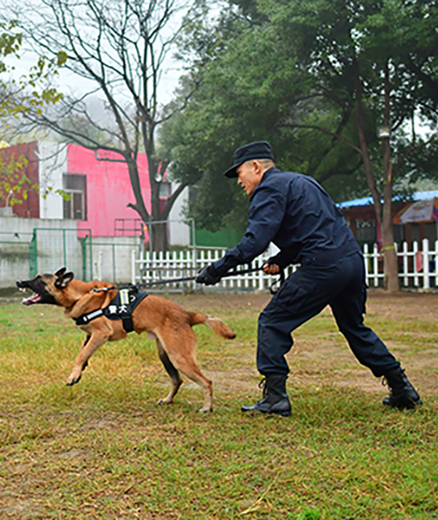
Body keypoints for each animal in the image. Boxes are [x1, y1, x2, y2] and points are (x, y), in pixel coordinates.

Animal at [16, 266, 236, 412]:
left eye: (37, 280)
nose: (19, 282)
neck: (80, 294)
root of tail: (188, 315)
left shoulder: (101, 333)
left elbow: (82, 353)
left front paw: (74, 375)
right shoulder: (90, 334)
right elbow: (83, 349)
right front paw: (81, 368)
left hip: (179, 357)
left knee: (207, 381)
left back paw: (207, 408)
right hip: (166, 356)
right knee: (177, 380)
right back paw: (167, 400)